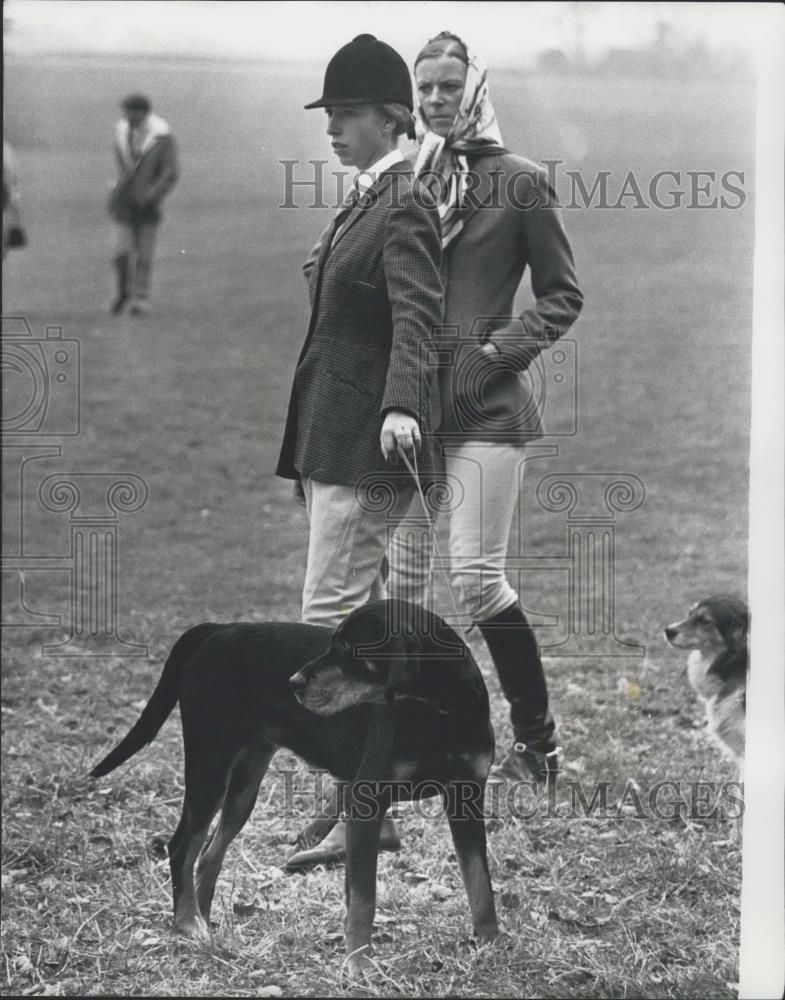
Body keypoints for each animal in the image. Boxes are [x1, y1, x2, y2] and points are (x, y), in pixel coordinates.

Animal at [90, 600, 496, 976]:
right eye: (334, 640)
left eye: (349, 647)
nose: (294, 682)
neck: (441, 712)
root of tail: (218, 629)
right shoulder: (367, 800)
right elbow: (364, 898)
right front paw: (359, 965)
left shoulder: (466, 795)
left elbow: (480, 882)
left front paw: (492, 944)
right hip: (210, 762)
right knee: (182, 846)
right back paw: (187, 923)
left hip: (243, 784)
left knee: (207, 853)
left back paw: (204, 923)